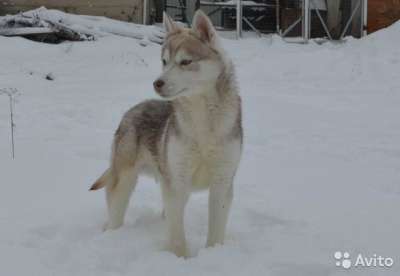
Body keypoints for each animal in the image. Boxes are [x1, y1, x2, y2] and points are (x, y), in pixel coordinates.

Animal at [90, 9, 241, 258]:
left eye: (185, 62)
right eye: (164, 61)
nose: (157, 83)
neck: (203, 121)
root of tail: (132, 110)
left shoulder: (222, 182)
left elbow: (215, 232)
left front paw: (214, 254)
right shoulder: (177, 183)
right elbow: (177, 234)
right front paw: (180, 258)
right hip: (125, 181)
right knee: (116, 214)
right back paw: (111, 236)